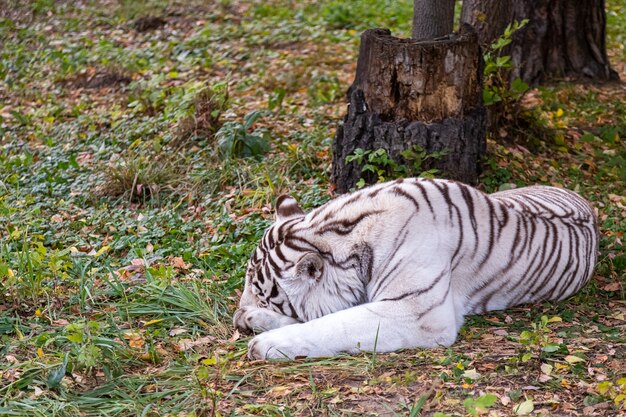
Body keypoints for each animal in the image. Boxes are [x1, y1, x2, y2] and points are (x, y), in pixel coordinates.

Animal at [232, 177, 596, 360]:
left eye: (264, 295)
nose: (237, 314)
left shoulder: (418, 311)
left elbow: (334, 324)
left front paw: (267, 343)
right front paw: (254, 321)